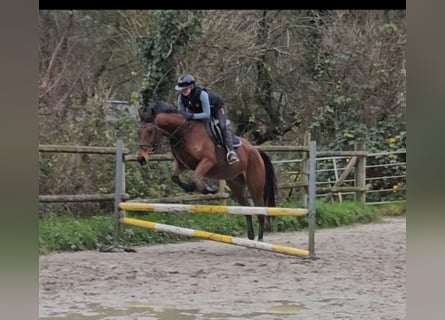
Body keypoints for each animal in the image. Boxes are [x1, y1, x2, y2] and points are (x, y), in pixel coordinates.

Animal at [135, 101, 276, 241]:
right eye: (138, 132)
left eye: (150, 131)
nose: (141, 158)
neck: (184, 132)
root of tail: (256, 151)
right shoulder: (182, 164)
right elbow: (175, 177)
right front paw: (192, 188)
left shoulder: (207, 161)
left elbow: (195, 178)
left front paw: (210, 189)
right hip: (236, 184)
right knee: (247, 208)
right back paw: (251, 237)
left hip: (255, 186)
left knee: (260, 211)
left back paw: (260, 240)